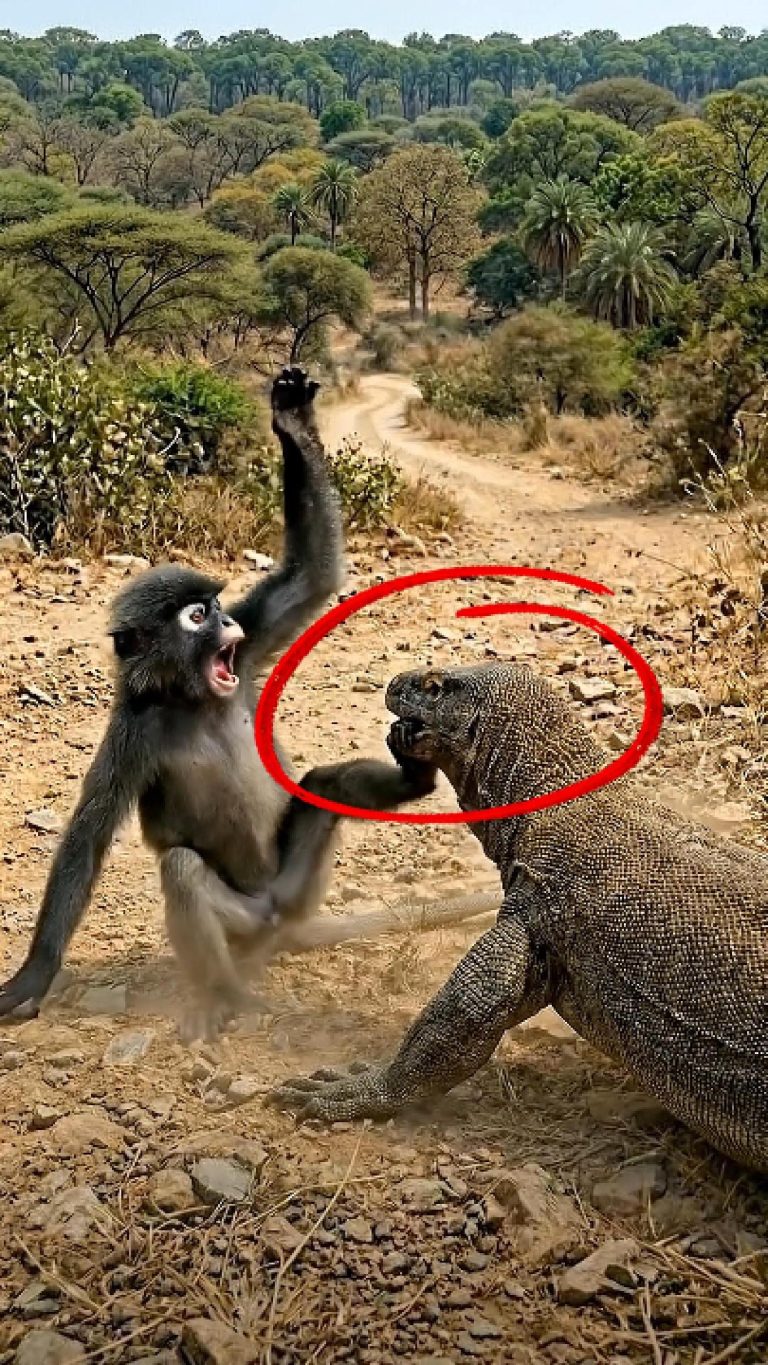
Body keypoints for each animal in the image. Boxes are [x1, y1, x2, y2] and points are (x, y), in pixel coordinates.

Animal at [0, 367, 439, 1041]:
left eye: (219, 607)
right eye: (197, 615)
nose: (226, 620)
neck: (193, 699)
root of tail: (277, 917)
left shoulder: (251, 646)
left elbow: (310, 576)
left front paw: (291, 421)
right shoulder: (133, 727)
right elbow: (86, 839)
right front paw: (34, 974)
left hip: (296, 881)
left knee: (323, 784)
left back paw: (413, 780)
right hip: (243, 920)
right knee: (183, 870)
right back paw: (226, 996)